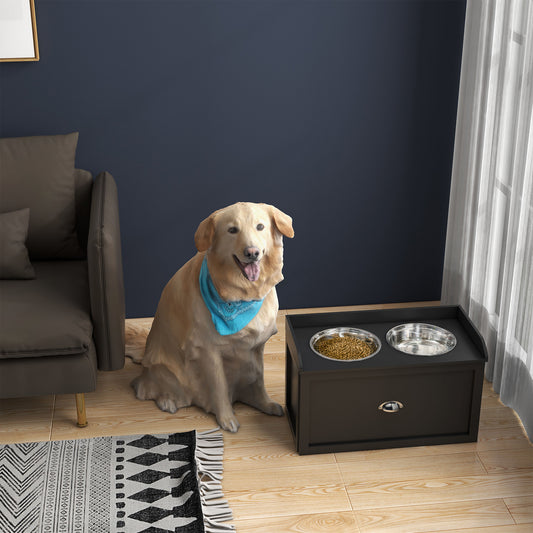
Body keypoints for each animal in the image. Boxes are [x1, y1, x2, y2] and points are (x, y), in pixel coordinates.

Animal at [129, 202, 296, 430]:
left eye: (260, 227)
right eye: (232, 230)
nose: (252, 252)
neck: (241, 295)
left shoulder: (256, 346)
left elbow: (258, 378)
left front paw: (265, 403)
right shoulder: (208, 350)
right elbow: (219, 387)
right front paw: (226, 419)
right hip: (168, 371)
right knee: (144, 388)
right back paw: (167, 401)